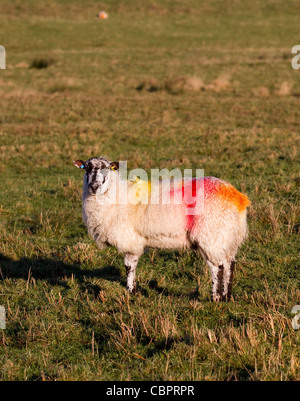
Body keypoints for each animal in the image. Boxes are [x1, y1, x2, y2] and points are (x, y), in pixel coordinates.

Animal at [73, 156, 251, 300]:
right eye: (86, 168)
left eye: (106, 168)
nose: (93, 186)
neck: (116, 195)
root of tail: (237, 197)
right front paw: (135, 290)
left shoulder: (130, 241)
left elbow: (129, 267)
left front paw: (131, 291)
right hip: (227, 236)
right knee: (229, 264)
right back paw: (227, 296)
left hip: (211, 234)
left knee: (217, 267)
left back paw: (215, 298)